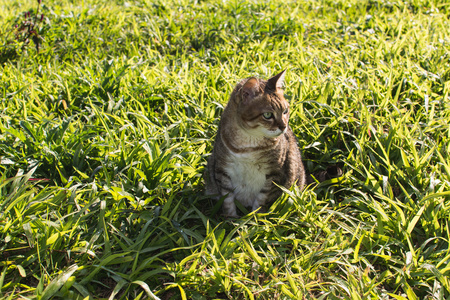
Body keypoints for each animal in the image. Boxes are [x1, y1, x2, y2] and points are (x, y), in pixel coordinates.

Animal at [207, 69, 306, 216]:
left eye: (285, 111)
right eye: (267, 115)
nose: (284, 126)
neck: (246, 146)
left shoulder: (274, 173)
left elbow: (261, 200)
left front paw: (254, 218)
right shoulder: (223, 169)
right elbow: (227, 200)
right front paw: (231, 218)